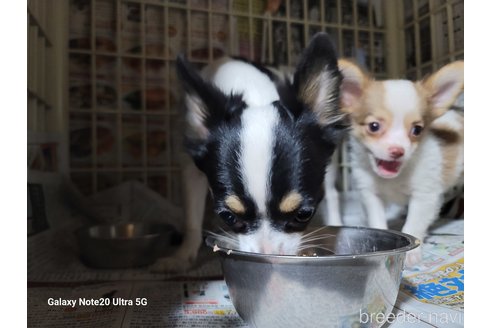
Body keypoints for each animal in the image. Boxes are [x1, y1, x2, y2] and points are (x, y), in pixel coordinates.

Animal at [152, 32, 348, 272]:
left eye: (304, 214)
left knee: (332, 193)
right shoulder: (190, 168)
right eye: (228, 216)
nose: (269, 257)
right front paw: (182, 256)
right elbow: (191, 218)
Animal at [326, 60, 466, 266]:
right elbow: (377, 221)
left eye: (417, 130)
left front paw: (412, 254)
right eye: (374, 126)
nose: (397, 151)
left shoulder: (424, 196)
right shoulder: (370, 193)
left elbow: (413, 224)